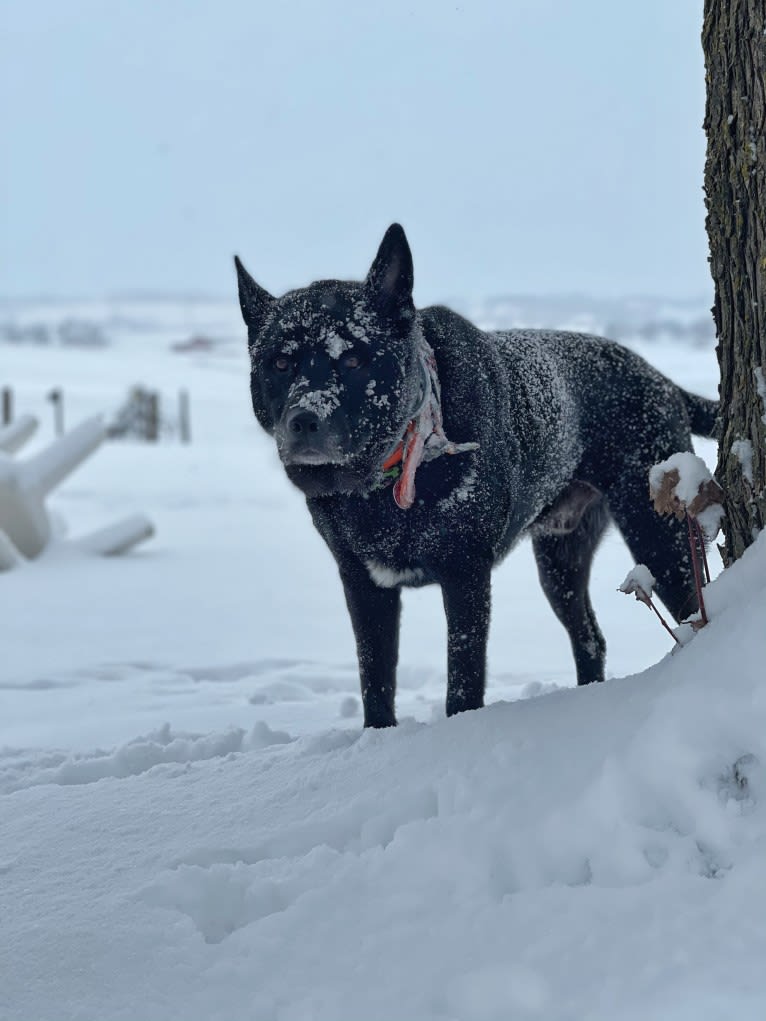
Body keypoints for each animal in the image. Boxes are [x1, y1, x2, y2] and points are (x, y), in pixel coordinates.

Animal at [235, 227, 719, 731]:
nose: (303, 420)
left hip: (659, 539)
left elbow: (462, 681)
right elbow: (375, 679)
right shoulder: (362, 583)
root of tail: (662, 381)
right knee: (589, 637)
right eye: (279, 364)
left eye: (352, 360)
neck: (390, 481)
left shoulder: (465, 576)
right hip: (560, 562)